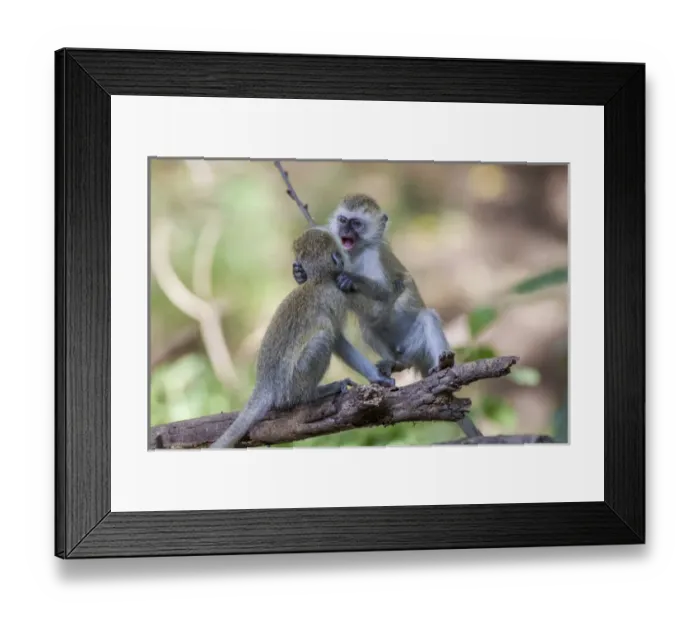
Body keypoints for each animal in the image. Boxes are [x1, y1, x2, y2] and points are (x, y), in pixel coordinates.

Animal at [210, 227, 392, 449]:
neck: (317, 280)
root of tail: (265, 384)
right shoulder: (337, 297)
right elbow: (337, 339)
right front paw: (376, 376)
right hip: (292, 386)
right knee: (323, 337)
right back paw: (312, 395)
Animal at [292, 194, 456, 382]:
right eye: (343, 220)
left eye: (356, 223)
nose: (345, 231)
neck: (355, 254)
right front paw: (299, 274)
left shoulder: (373, 255)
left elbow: (386, 290)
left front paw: (350, 279)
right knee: (368, 328)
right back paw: (395, 363)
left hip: (416, 345)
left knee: (428, 317)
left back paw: (443, 363)